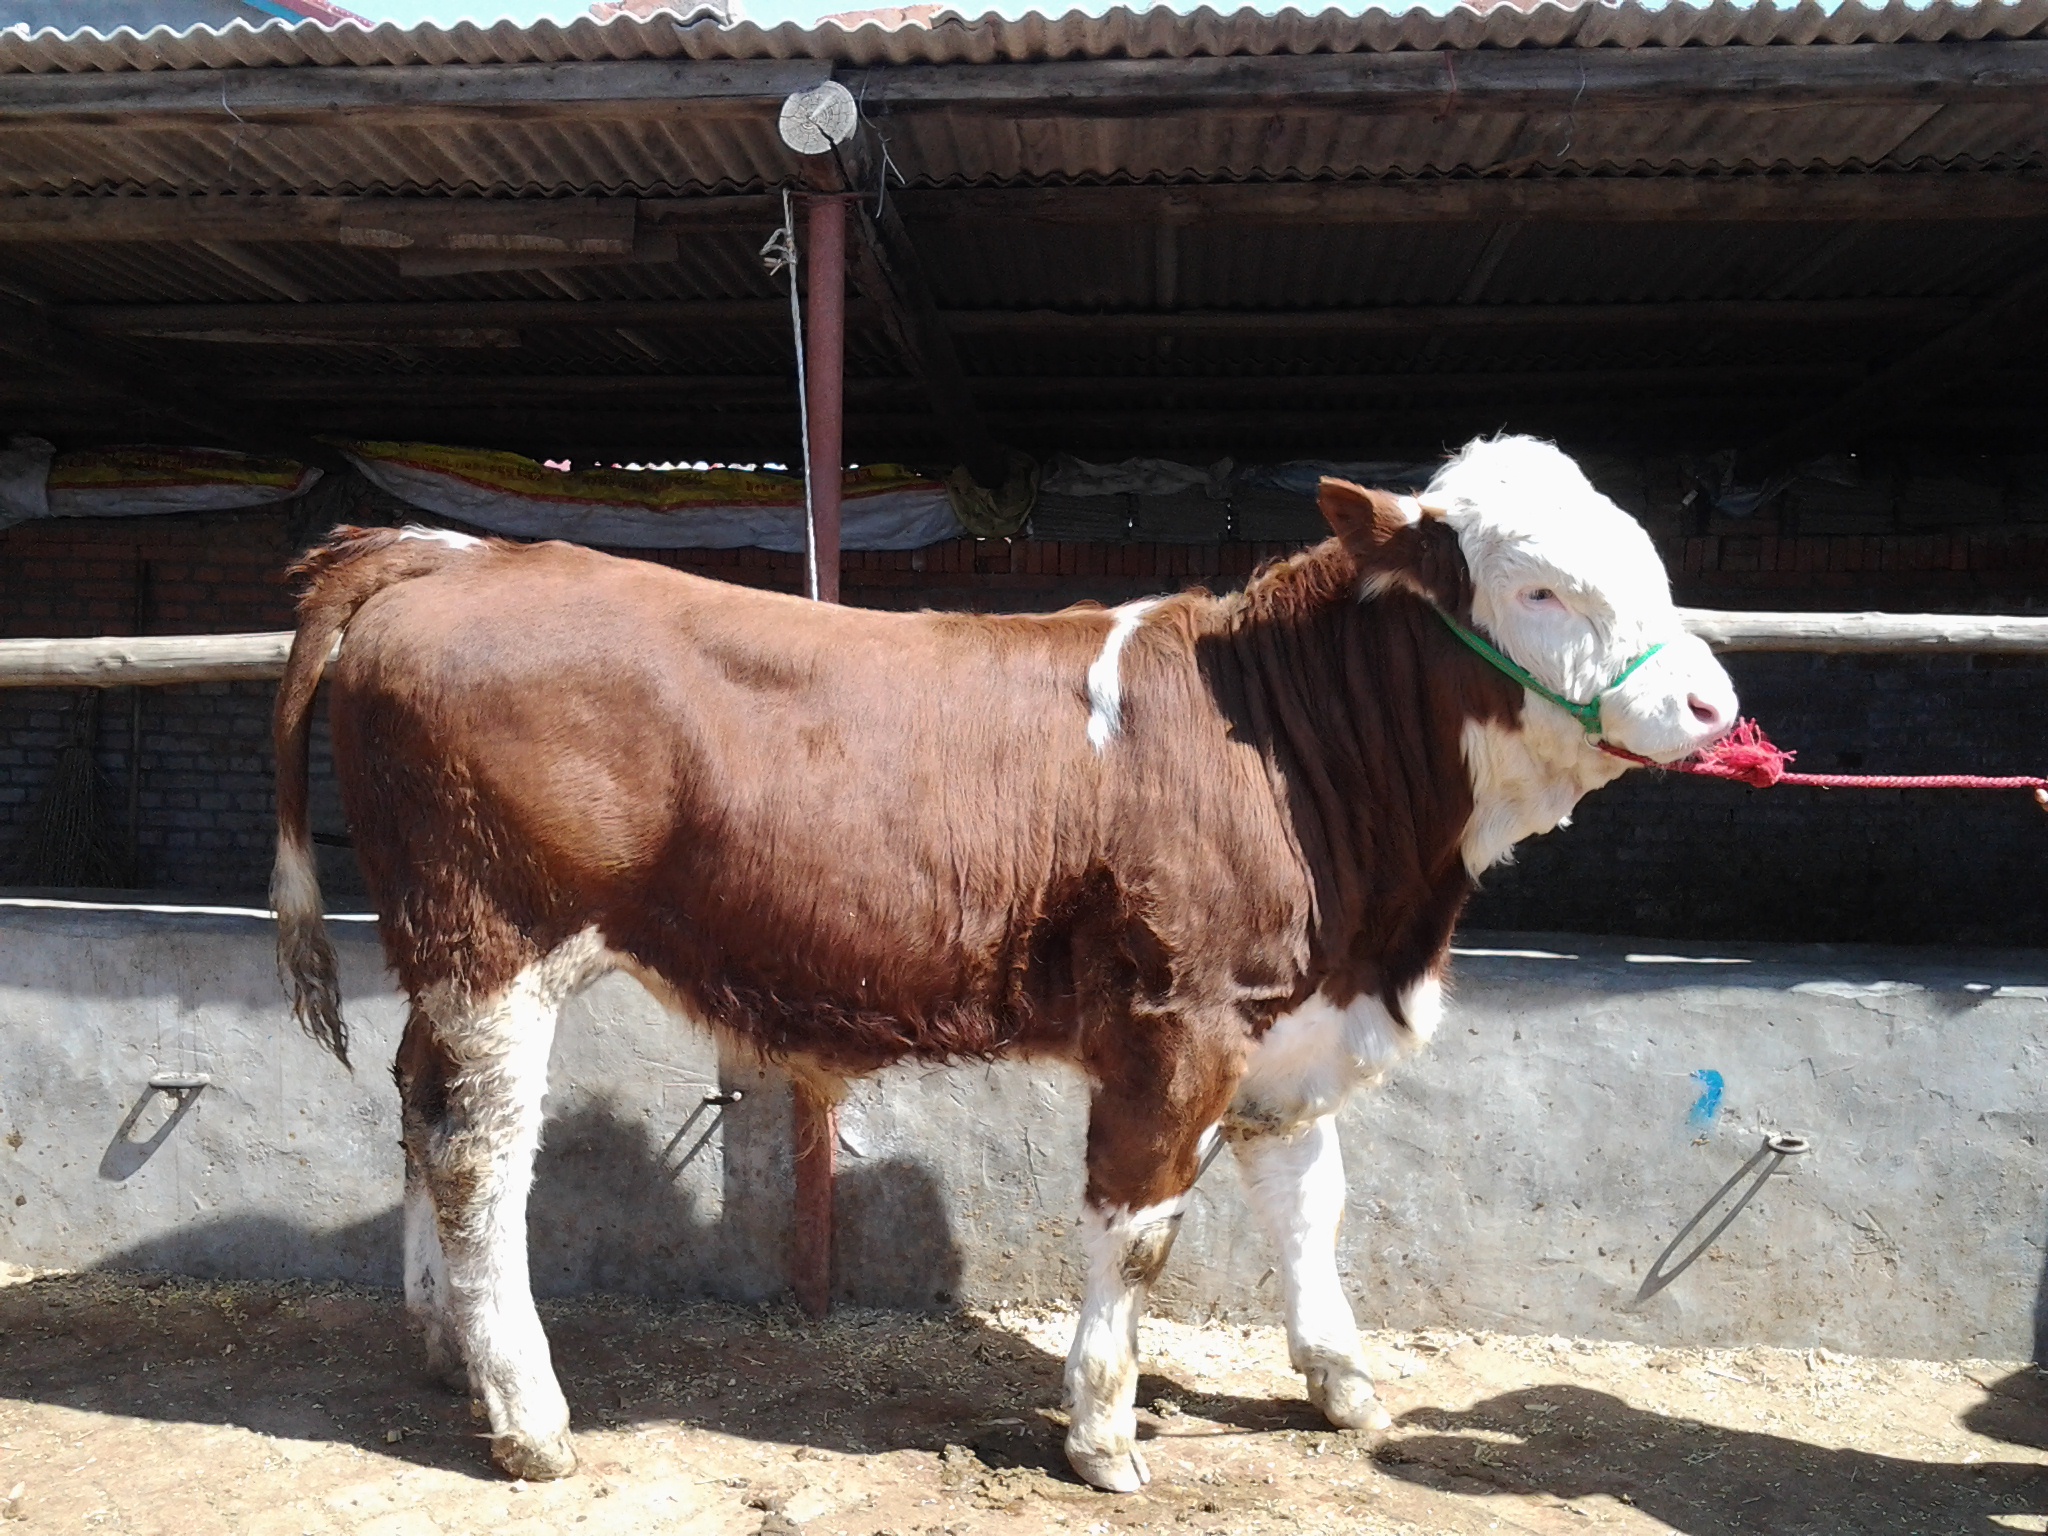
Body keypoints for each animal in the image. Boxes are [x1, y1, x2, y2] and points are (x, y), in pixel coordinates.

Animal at [272, 434, 1736, 1490]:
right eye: (1538, 584)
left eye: (1648, 562)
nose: (1714, 706)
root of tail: (442, 554)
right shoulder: (1175, 1019)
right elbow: (1138, 1233)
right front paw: (1101, 1433)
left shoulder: (1289, 1020)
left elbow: (1310, 1207)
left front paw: (1343, 1385)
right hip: (495, 941)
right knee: (477, 1155)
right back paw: (527, 1415)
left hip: (445, 958)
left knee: (416, 1107)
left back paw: (445, 1354)